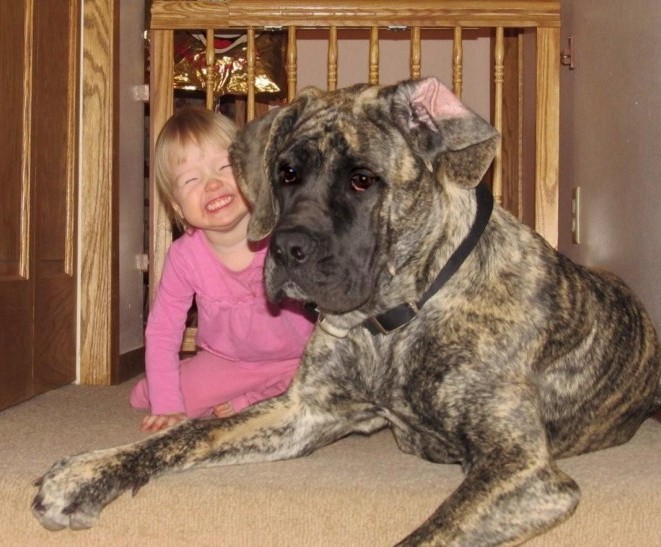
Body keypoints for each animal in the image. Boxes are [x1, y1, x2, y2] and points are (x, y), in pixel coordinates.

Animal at [32, 78, 660, 547]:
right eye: (286, 172)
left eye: (363, 180)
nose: (286, 248)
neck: (395, 316)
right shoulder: (304, 410)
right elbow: (189, 436)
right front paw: (85, 474)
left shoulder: (522, 470)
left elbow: (429, 536)